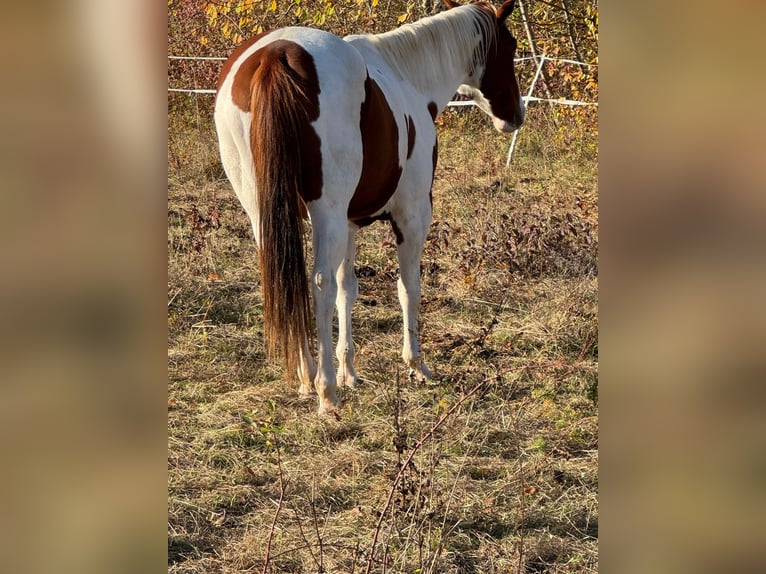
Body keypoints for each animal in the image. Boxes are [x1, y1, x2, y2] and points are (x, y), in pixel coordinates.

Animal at [216, 0, 528, 414]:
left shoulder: (348, 222)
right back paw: (325, 390)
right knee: (318, 283)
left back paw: (307, 377)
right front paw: (416, 365)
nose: (515, 114)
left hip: (264, 213)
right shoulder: (412, 215)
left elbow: (348, 288)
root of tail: (277, 55)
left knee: (288, 277)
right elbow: (408, 287)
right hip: (326, 212)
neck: (407, 77)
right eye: (510, 47)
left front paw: (350, 371)